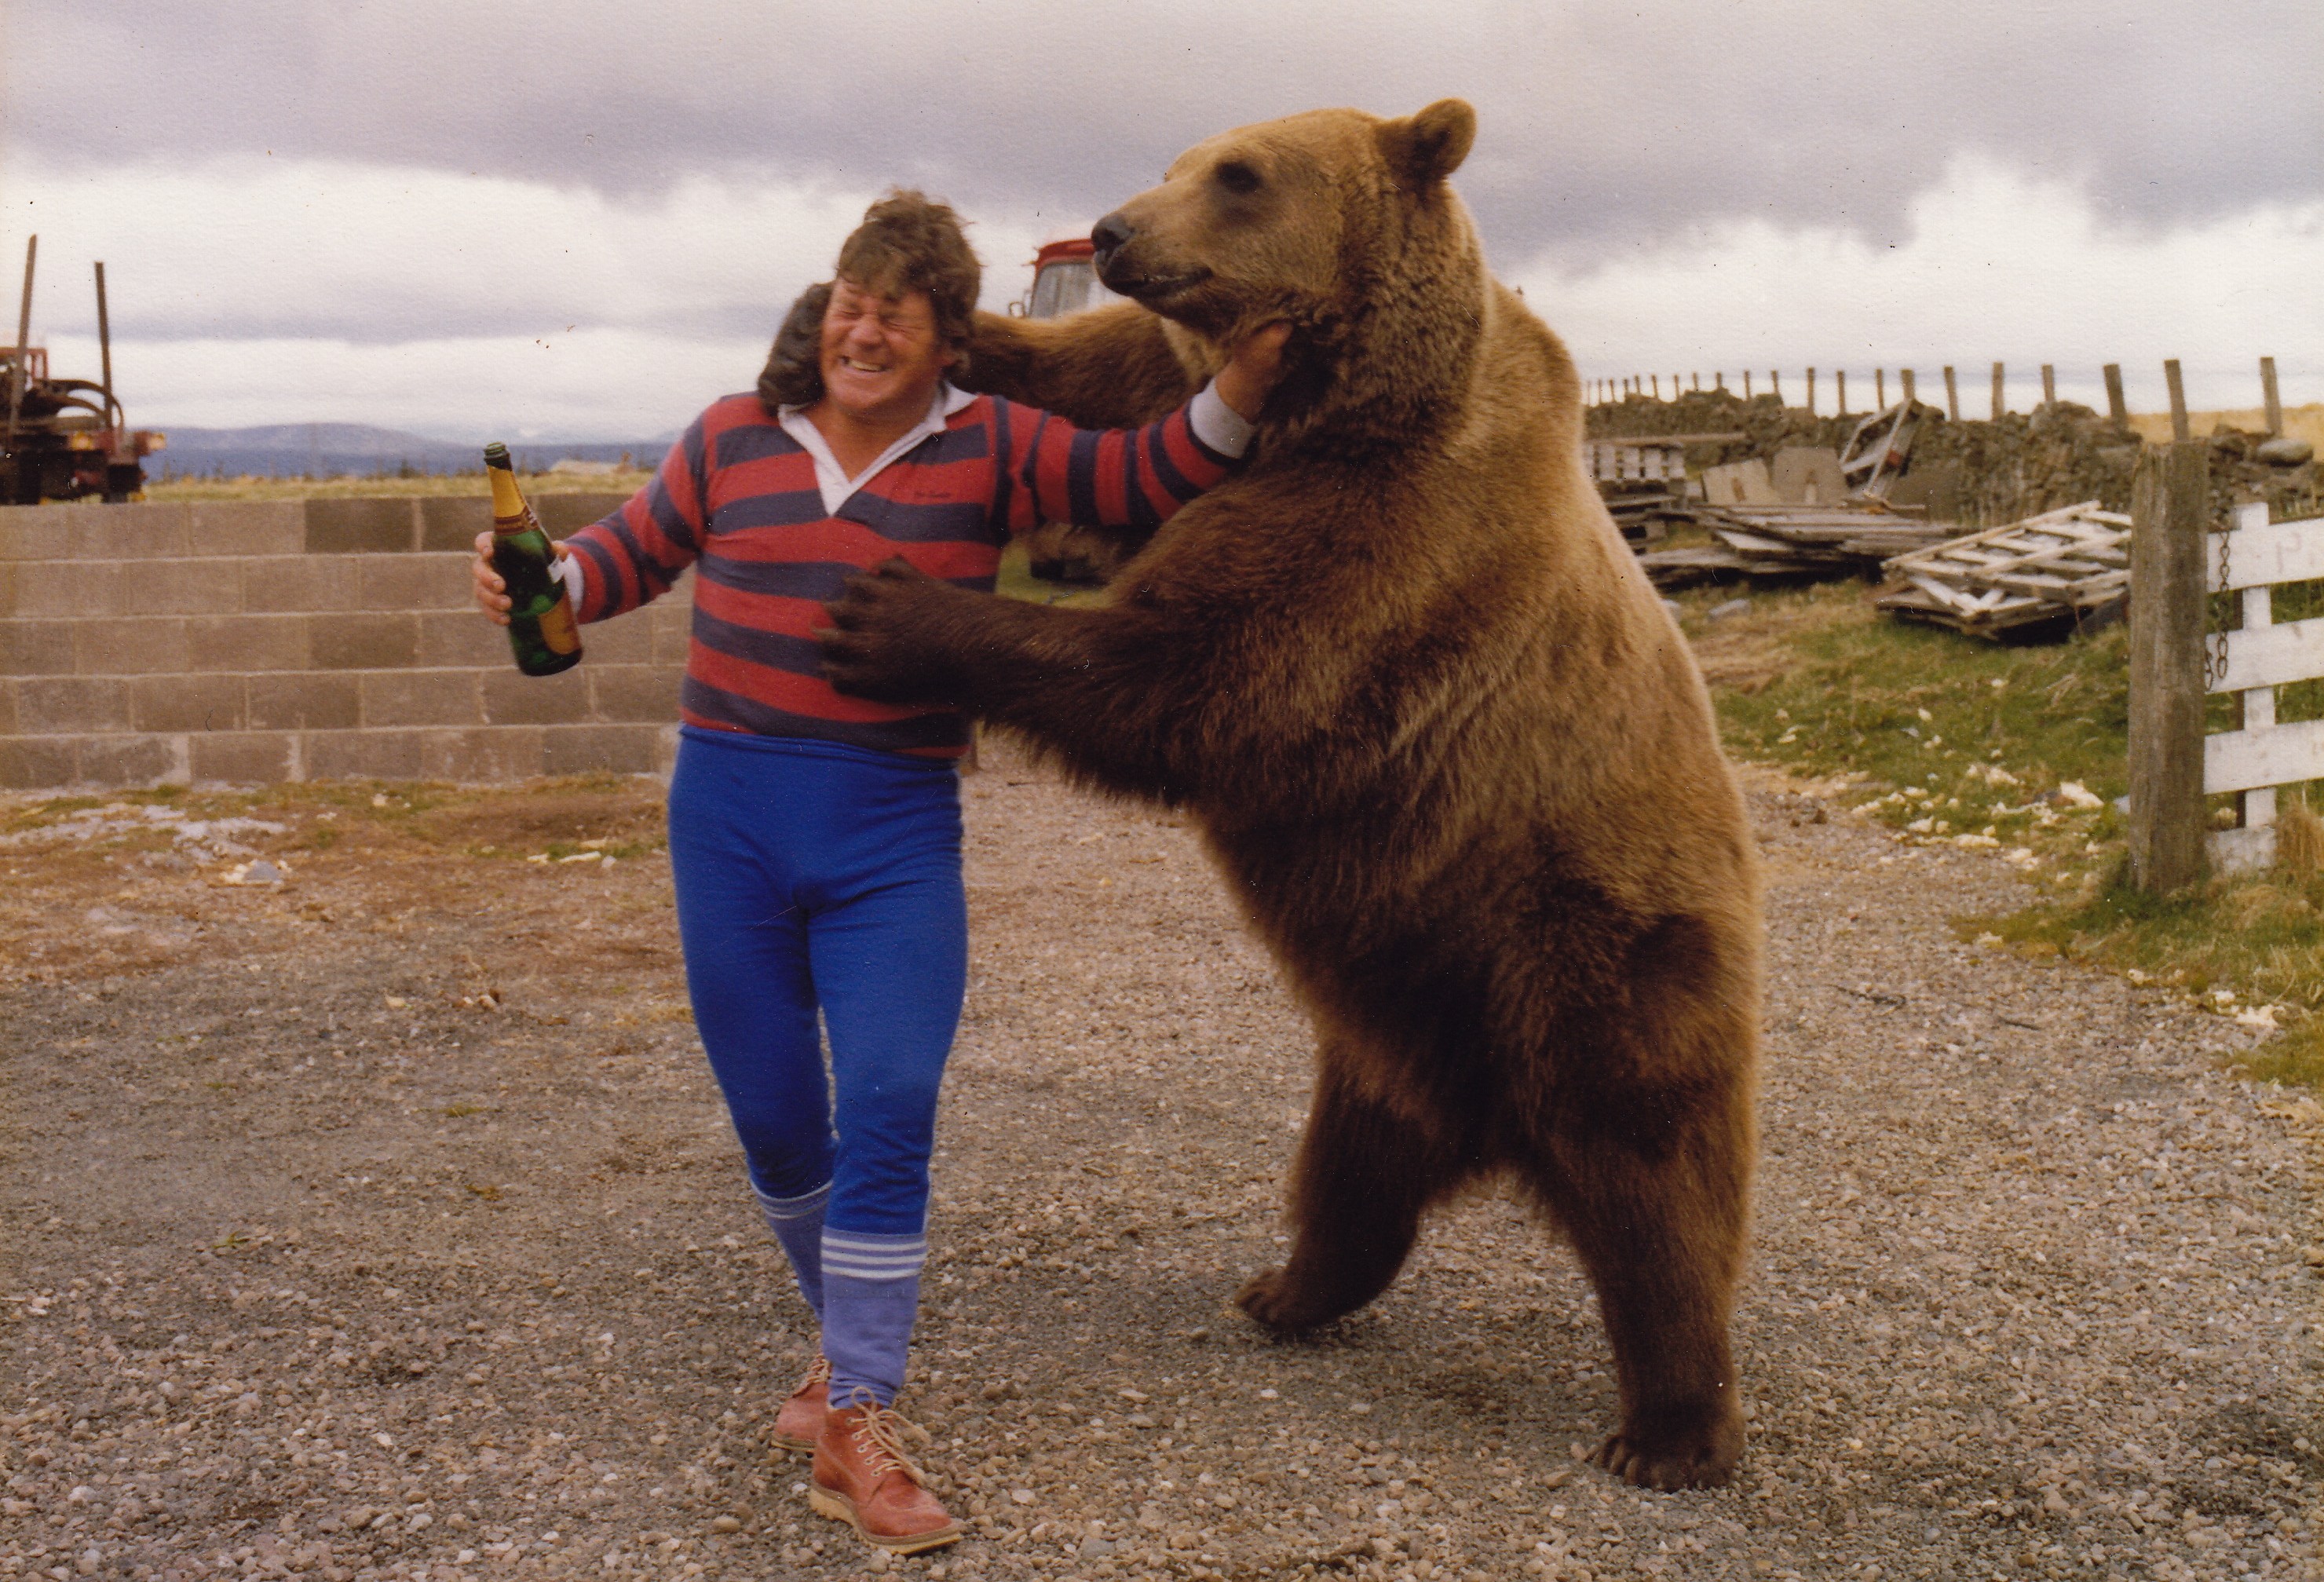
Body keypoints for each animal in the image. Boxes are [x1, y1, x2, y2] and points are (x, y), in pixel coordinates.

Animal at [818, 99, 1762, 1491]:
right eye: (1175, 162)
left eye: (1241, 174)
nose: (1114, 230)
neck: (1342, 401)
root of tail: (1485, 1119)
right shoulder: (1210, 417)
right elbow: (1106, 393)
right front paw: (949, 318)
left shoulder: (1389, 538)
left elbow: (1185, 673)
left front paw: (891, 613)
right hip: (1392, 1005)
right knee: (1351, 1169)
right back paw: (1286, 1286)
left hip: (1592, 938)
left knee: (1654, 1177)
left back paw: (1673, 1426)